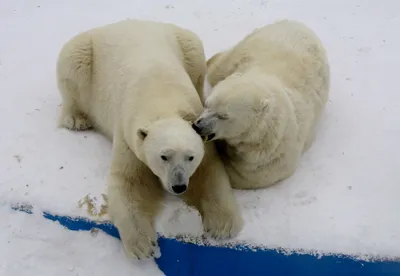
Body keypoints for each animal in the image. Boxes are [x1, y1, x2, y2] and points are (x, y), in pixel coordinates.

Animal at [56, 19, 244, 258]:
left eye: (190, 157)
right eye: (164, 156)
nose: (179, 186)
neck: (161, 97)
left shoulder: (198, 130)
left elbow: (210, 172)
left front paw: (223, 226)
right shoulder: (128, 133)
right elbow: (129, 181)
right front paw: (142, 246)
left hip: (186, 43)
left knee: (196, 61)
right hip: (85, 51)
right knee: (73, 64)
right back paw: (76, 119)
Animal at [192, 20, 330, 190]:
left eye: (223, 115)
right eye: (207, 104)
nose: (198, 126)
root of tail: (300, 25)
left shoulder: (268, 154)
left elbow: (246, 176)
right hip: (249, 43)